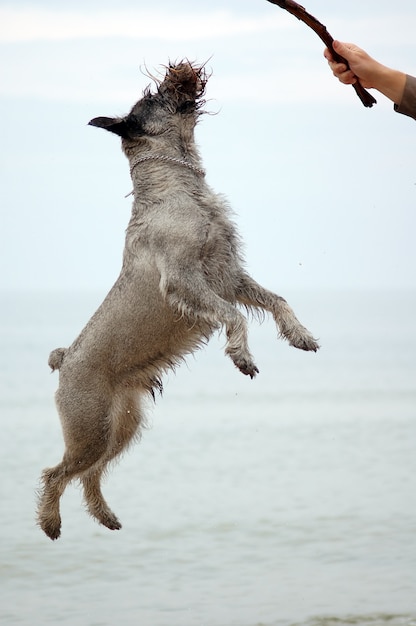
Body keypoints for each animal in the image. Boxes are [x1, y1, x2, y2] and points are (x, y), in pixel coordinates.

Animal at [38, 64, 318, 540]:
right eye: (153, 97)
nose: (180, 76)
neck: (176, 187)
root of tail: (65, 359)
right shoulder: (187, 281)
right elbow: (234, 316)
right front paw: (242, 356)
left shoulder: (230, 275)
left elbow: (275, 300)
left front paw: (300, 335)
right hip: (90, 428)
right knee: (56, 473)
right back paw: (50, 522)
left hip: (121, 427)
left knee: (89, 474)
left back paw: (105, 516)